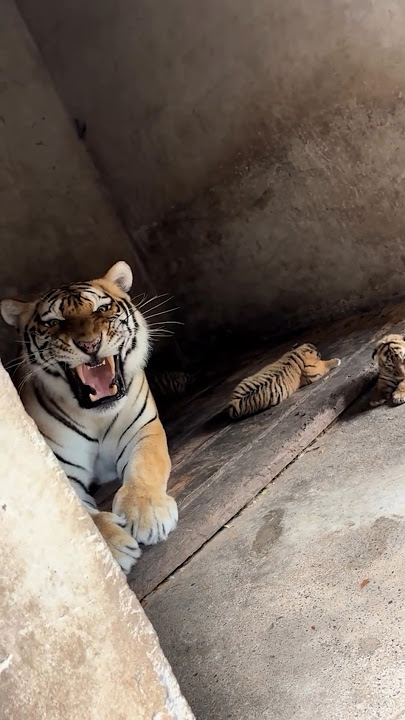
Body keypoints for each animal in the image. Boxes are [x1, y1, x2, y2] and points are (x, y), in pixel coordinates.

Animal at [0, 261, 178, 575]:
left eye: (102, 309)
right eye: (53, 322)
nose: (90, 344)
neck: (98, 416)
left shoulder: (143, 430)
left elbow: (146, 465)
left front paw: (147, 513)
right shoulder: (62, 471)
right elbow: (84, 521)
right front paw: (113, 548)